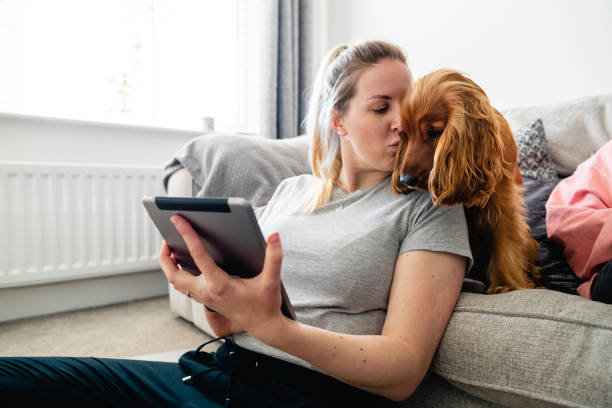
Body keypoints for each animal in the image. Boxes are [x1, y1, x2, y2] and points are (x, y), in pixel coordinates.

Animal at [394, 69, 536, 294]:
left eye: (435, 132)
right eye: (404, 134)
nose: (405, 179)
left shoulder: (504, 204)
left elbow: (505, 244)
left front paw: (506, 285)